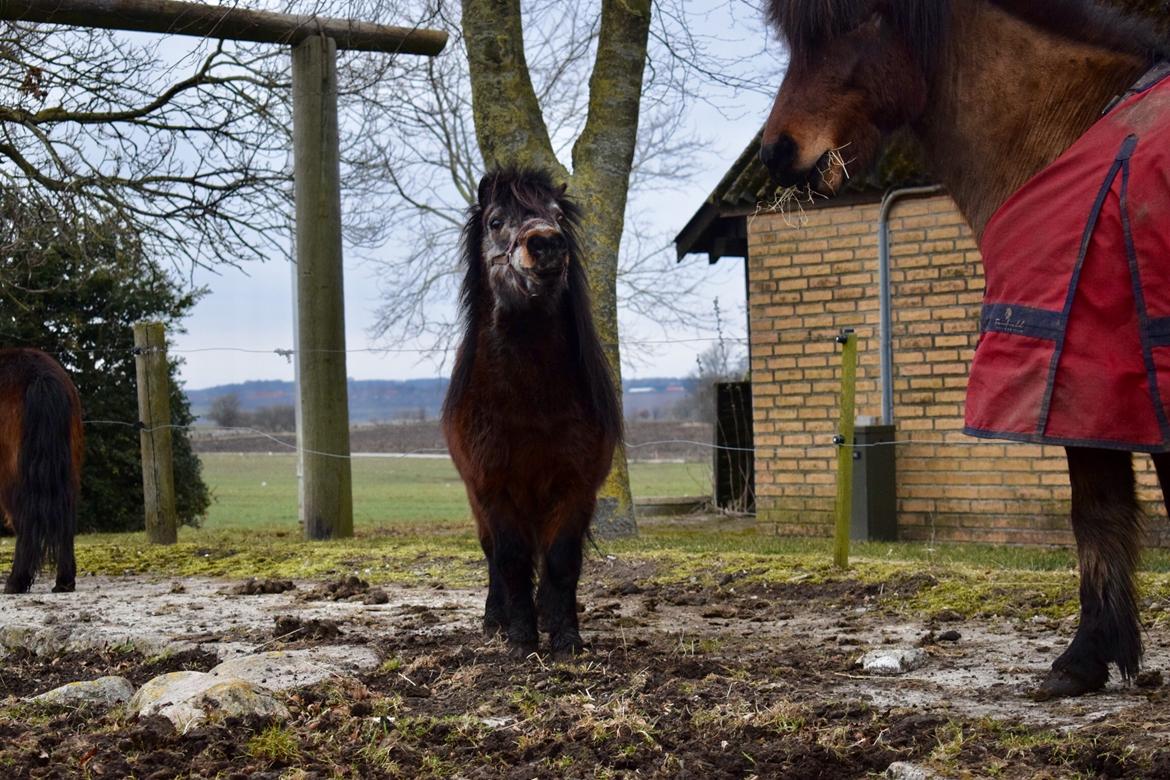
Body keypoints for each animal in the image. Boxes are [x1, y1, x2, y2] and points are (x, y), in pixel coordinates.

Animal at [0, 348, 83, 594]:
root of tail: (40, 375)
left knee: (24, 522)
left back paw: (16, 581)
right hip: (68, 473)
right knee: (66, 520)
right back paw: (64, 581)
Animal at [442, 168, 622, 660]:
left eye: (558, 216)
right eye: (496, 221)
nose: (546, 243)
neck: (530, 402)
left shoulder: (576, 487)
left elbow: (561, 560)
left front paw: (564, 636)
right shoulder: (494, 487)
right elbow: (511, 558)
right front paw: (521, 637)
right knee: (492, 555)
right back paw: (496, 620)